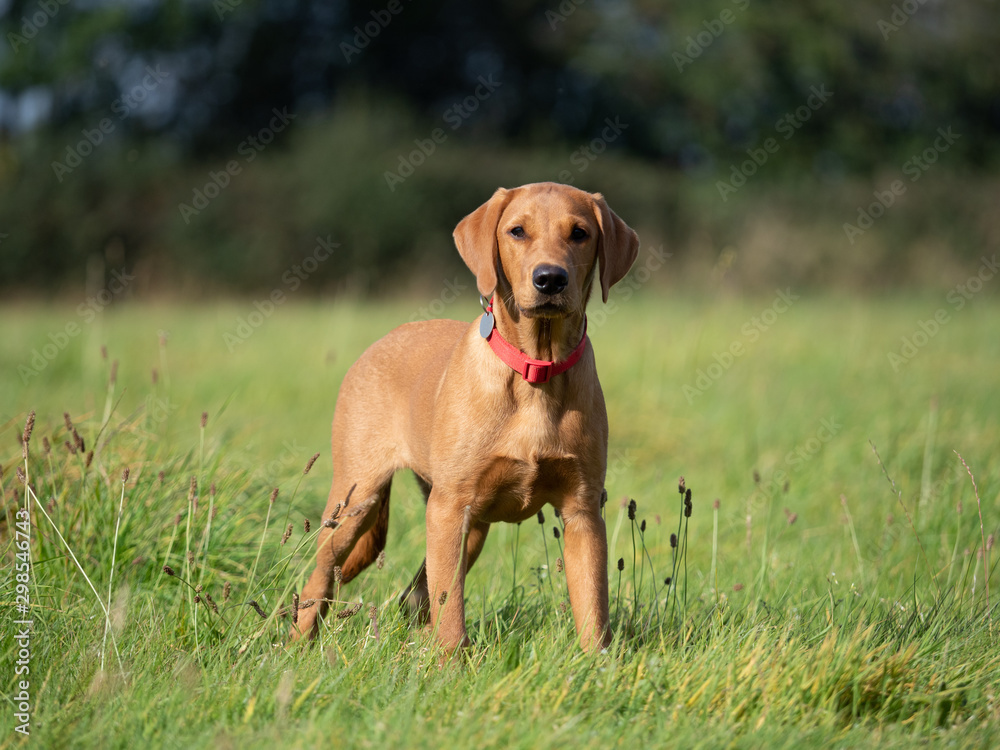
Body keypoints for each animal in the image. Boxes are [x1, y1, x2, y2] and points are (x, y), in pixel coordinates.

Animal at [292, 181, 636, 652]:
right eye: (517, 231)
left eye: (580, 233)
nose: (550, 279)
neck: (537, 370)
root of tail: (380, 341)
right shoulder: (451, 506)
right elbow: (451, 610)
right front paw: (452, 664)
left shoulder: (582, 510)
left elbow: (593, 608)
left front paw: (595, 663)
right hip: (360, 499)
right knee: (322, 576)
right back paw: (294, 645)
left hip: (464, 526)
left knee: (415, 595)